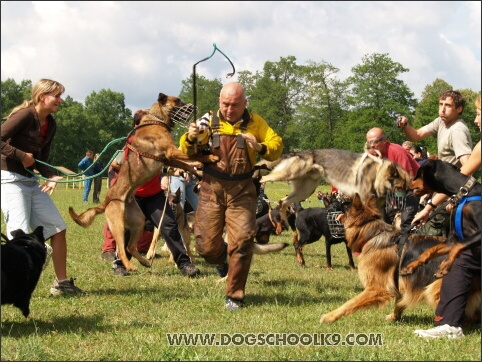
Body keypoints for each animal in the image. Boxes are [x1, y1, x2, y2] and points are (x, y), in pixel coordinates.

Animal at [68, 94, 219, 272]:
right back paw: (129, 266)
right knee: (122, 248)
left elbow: (187, 164)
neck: (156, 120)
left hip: (138, 221)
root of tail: (106, 201)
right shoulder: (171, 151)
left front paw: (198, 172)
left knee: (130, 246)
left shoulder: (168, 159)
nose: (194, 107)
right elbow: (193, 156)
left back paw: (145, 262)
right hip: (118, 224)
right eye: (177, 101)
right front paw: (210, 157)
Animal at [260, 148, 410, 222]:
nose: (404, 206)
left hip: (304, 191)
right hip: (288, 175)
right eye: (399, 188)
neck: (377, 173)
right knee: (263, 178)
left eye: (406, 188)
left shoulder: (379, 207)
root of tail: (297, 152)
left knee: (282, 202)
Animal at [318, 194, 480, 324]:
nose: (332, 203)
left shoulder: (376, 288)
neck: (373, 235)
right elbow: (399, 302)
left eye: (345, 204)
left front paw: (330, 316)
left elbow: (350, 303)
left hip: (434, 288)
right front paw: (394, 317)